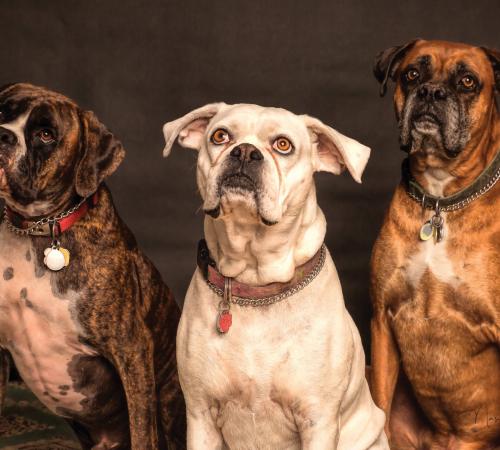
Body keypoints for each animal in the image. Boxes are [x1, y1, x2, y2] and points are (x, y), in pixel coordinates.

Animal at [0, 82, 186, 448]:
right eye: (2, 112)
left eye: (45, 134)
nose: (2, 134)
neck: (37, 228)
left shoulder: (131, 350)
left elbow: (143, 432)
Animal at [162, 103, 388, 448]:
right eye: (220, 136)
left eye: (283, 145)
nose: (244, 152)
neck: (254, 280)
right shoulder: (200, 415)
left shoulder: (318, 420)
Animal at [370, 40, 498, 450]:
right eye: (412, 74)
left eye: (467, 81)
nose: (431, 92)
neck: (441, 199)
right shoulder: (382, 320)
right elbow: (378, 406)